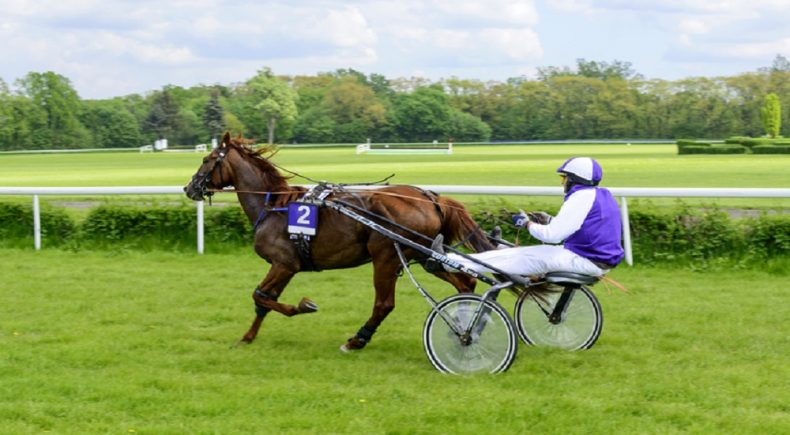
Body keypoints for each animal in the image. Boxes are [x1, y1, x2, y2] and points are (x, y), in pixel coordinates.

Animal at [186, 132, 496, 350]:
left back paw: (358, 340)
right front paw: (247, 337)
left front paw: (303, 306)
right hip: (424, 255)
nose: (189, 188)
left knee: (384, 304)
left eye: (206, 160)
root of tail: (431, 198)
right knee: (465, 282)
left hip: (386, 256)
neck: (273, 206)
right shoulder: (287, 265)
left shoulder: (284, 263)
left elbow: (260, 295)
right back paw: (467, 321)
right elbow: (264, 300)